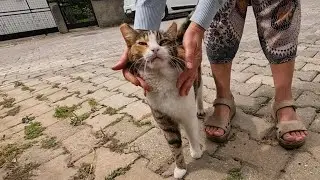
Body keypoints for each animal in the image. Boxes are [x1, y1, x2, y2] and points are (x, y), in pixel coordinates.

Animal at [119, 19, 204, 179]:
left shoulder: (188, 114)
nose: (155, 49)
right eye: (142, 43)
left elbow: (192, 133)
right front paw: (180, 168)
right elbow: (174, 145)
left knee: (200, 94)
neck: (161, 78)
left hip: (198, 79)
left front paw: (196, 151)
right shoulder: (163, 119)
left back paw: (201, 109)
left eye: (163, 41)